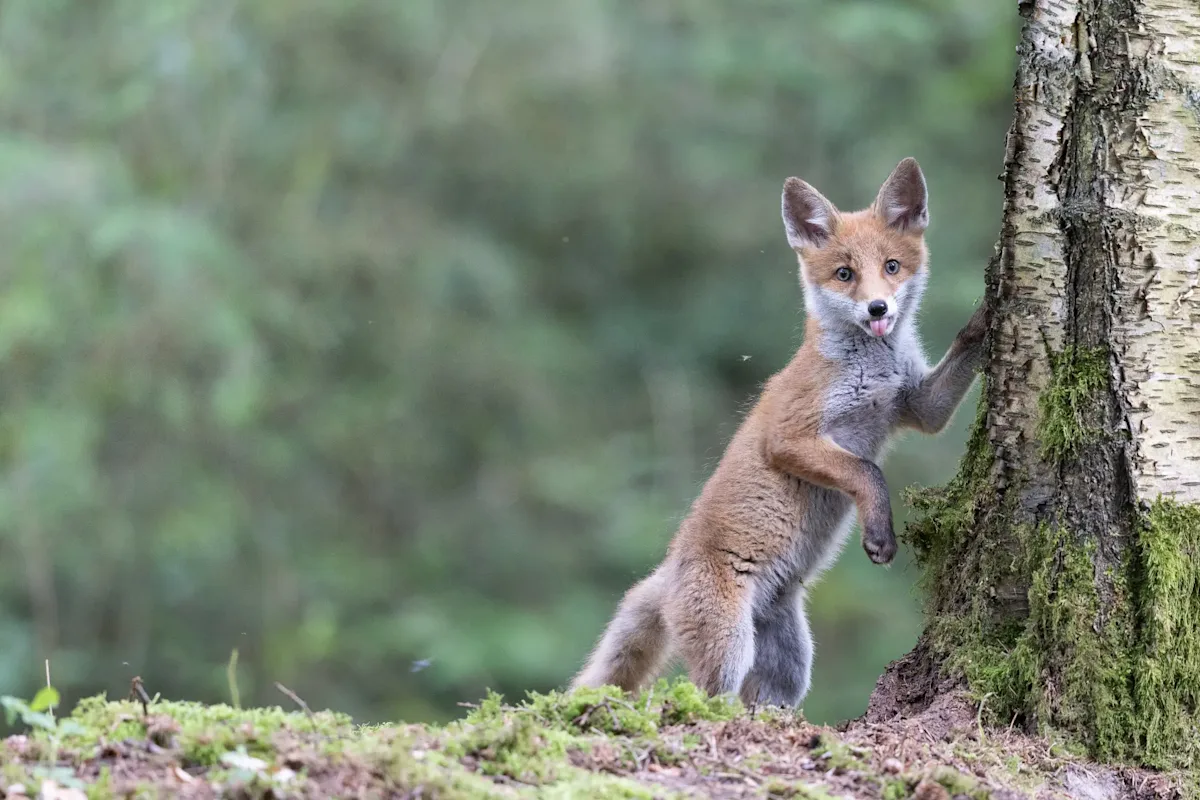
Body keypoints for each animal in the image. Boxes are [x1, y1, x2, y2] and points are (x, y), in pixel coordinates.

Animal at [571, 157, 988, 707]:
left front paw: (993, 311)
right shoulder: (791, 437)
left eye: (892, 267)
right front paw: (879, 533)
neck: (872, 367)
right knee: (694, 699)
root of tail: (665, 571)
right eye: (844, 274)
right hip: (728, 647)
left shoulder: (917, 406)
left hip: (788, 663)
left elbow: (958, 359)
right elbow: (867, 471)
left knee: (764, 703)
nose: (878, 309)